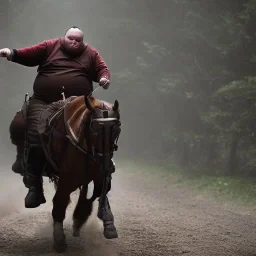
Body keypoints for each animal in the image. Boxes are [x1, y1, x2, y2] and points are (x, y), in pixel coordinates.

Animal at [11, 94, 121, 252]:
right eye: (94, 130)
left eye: (117, 130)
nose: (105, 165)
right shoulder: (66, 181)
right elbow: (59, 204)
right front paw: (59, 239)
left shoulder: (98, 177)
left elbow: (99, 193)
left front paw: (102, 219)